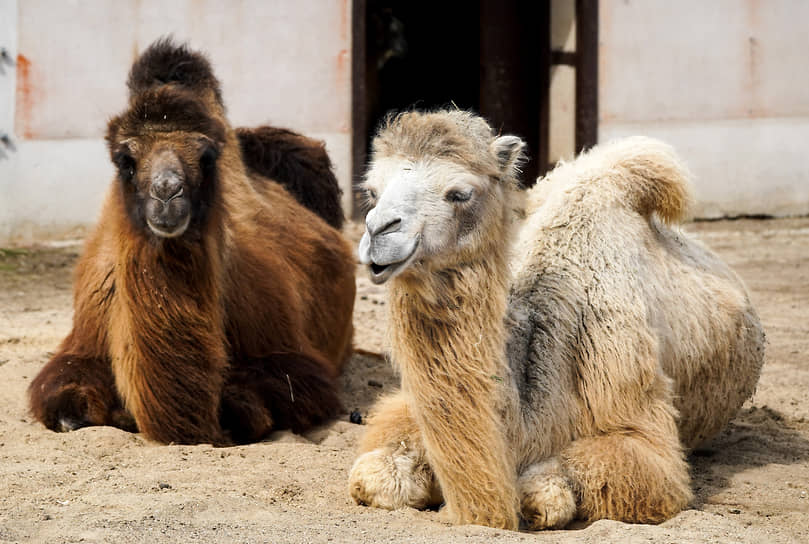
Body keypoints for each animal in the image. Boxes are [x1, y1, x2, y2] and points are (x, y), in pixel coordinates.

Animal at [28, 39, 354, 446]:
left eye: (207, 156)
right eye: (125, 159)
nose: (168, 192)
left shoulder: (292, 357)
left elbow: (260, 399)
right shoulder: (82, 344)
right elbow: (67, 406)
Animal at [348, 110, 764, 532]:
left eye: (459, 193)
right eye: (371, 192)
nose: (378, 232)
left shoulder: (640, 429)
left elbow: (545, 492)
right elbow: (371, 476)